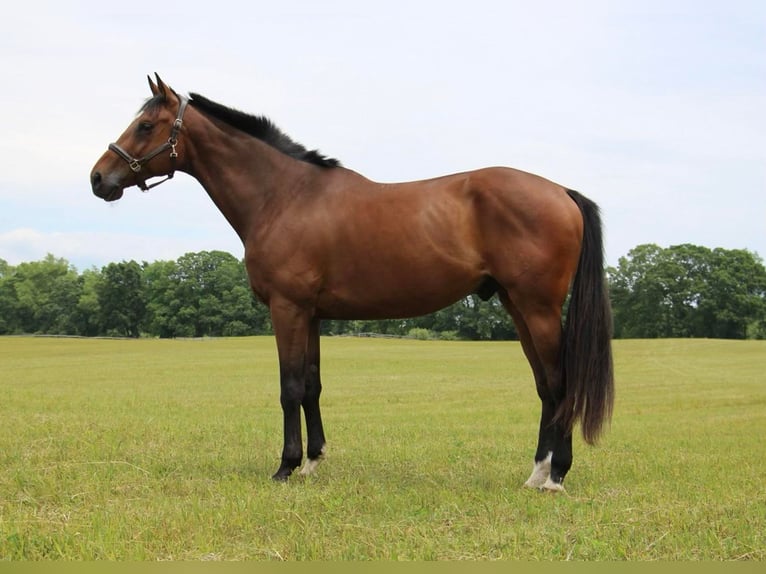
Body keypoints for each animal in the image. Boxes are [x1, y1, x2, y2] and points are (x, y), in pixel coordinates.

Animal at [91, 74, 616, 492]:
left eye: (145, 126)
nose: (98, 179)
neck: (284, 196)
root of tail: (560, 191)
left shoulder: (287, 308)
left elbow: (289, 387)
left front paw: (285, 468)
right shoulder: (311, 314)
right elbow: (312, 385)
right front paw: (312, 462)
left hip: (538, 308)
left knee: (559, 384)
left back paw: (555, 477)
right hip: (517, 305)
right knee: (546, 387)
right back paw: (537, 472)